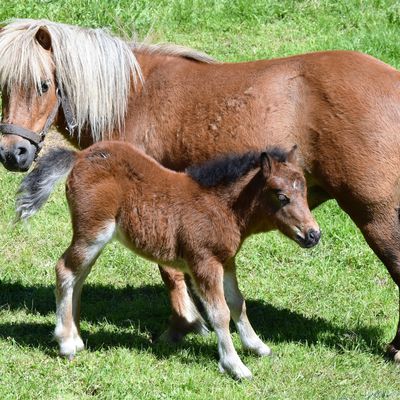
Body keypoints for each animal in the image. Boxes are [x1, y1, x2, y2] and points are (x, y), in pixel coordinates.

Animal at [0, 18, 400, 356]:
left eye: (43, 85)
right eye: (3, 88)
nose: (13, 153)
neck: (133, 97)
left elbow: (170, 271)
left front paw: (184, 325)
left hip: (376, 215)